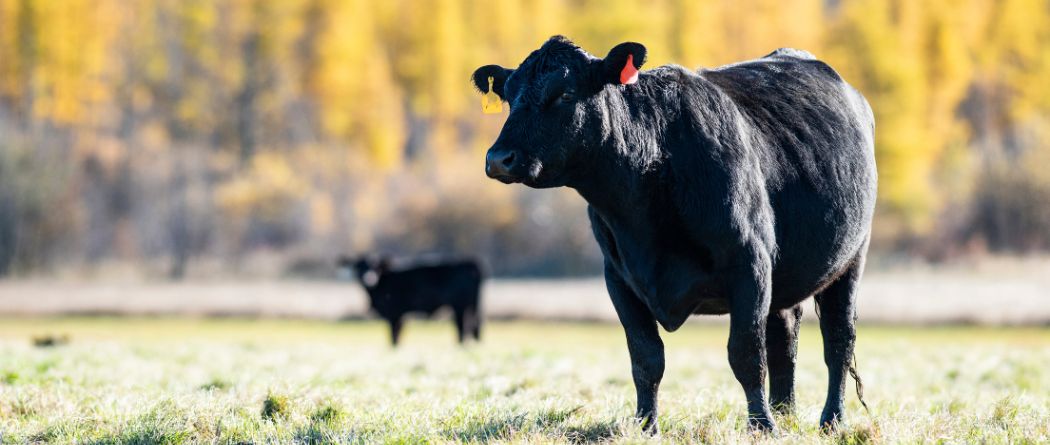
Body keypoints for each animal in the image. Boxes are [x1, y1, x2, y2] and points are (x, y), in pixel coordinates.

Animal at [336, 255, 482, 346]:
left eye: (376, 267)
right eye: (358, 267)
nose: (369, 279)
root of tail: (468, 261)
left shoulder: (394, 313)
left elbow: (394, 336)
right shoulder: (401, 315)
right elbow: (397, 336)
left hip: (460, 306)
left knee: (462, 328)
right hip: (471, 307)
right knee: (472, 327)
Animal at [472, 36, 873, 432]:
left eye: (566, 93)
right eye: (509, 97)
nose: (498, 159)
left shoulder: (750, 265)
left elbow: (745, 353)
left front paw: (761, 427)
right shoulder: (618, 277)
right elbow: (646, 357)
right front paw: (645, 426)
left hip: (850, 260)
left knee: (838, 340)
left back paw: (830, 420)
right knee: (784, 339)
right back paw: (786, 413)